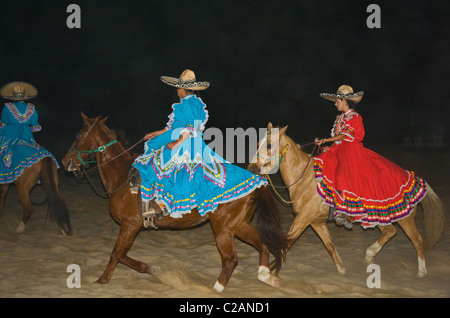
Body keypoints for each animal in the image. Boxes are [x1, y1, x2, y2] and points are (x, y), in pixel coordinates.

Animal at [61, 113, 286, 294]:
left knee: (231, 259)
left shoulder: (130, 225)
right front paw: (104, 280)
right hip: (238, 225)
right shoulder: (130, 226)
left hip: (223, 228)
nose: (64, 162)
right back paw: (266, 276)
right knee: (263, 246)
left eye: (78, 136)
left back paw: (216, 288)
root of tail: (256, 180)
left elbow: (117, 253)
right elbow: (117, 255)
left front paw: (145, 270)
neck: (123, 177)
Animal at [248, 123, 444, 278]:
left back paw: (421, 272)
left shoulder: (303, 218)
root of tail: (412, 176)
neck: (305, 180)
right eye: (258, 144)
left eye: (270, 145)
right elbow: (329, 245)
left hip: (405, 219)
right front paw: (342, 270)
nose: (252, 168)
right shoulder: (316, 222)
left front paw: (270, 271)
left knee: (417, 240)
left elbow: (287, 242)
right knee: (390, 232)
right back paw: (369, 256)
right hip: (380, 217)